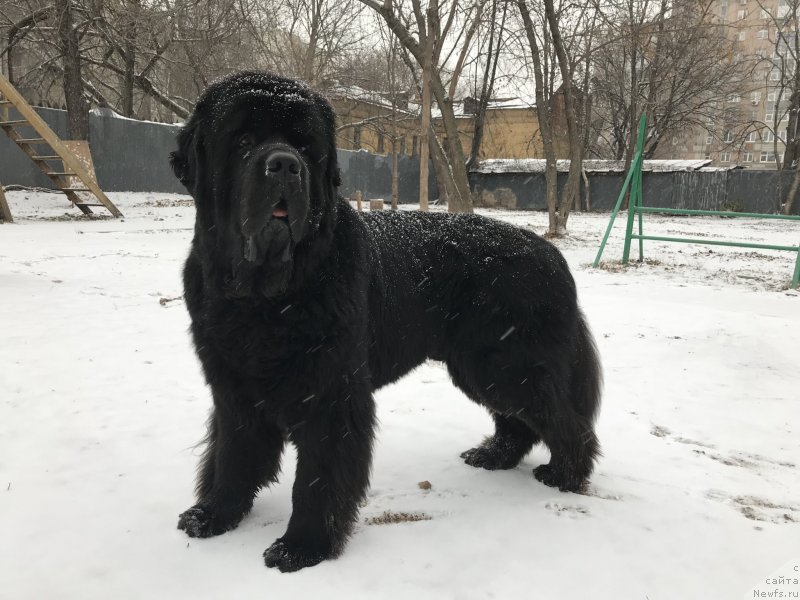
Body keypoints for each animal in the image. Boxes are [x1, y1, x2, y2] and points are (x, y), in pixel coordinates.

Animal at [173, 71, 600, 572]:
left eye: (304, 146)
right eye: (242, 140)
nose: (285, 166)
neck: (266, 296)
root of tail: (552, 254)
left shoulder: (331, 395)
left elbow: (316, 478)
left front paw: (302, 546)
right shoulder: (234, 388)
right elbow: (232, 456)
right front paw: (212, 514)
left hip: (508, 365)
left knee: (564, 421)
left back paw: (565, 474)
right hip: (482, 367)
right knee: (519, 422)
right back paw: (493, 455)